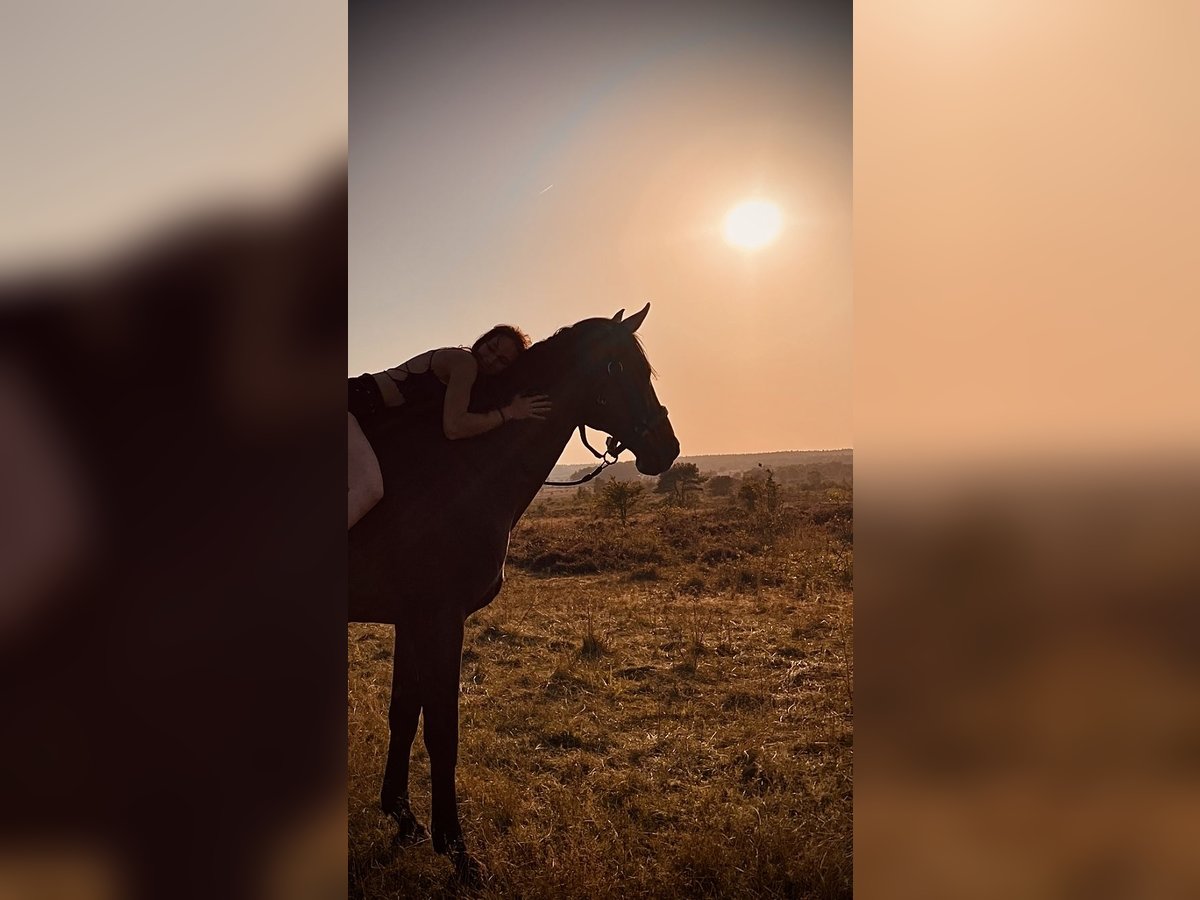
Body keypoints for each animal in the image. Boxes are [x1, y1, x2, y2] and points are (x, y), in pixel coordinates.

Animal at [350, 303, 681, 883]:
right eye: (620, 368)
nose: (667, 447)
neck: (455, 464)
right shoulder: (440, 618)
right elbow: (442, 732)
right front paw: (457, 850)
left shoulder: (413, 619)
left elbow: (404, 714)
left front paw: (404, 819)